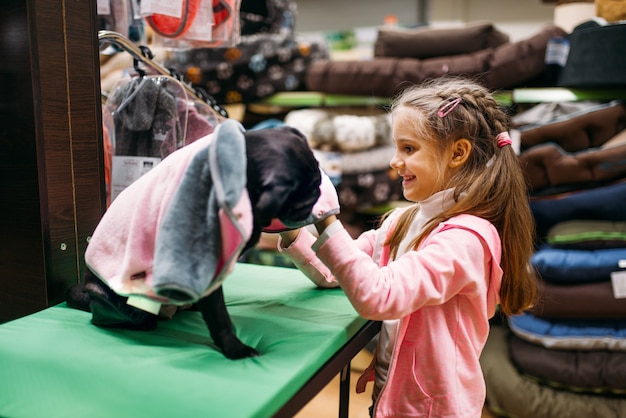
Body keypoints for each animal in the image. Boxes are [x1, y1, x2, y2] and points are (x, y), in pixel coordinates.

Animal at [67, 123, 322, 360]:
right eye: (302, 201)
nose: (318, 196)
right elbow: (220, 317)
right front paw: (236, 349)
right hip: (118, 301)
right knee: (108, 316)